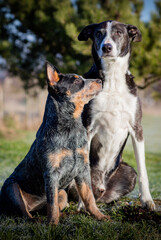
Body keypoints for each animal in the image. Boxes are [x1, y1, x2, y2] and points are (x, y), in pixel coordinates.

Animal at [77, 21, 156, 212]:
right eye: (98, 33)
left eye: (119, 33)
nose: (106, 47)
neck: (112, 78)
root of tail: (100, 188)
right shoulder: (88, 127)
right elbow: (83, 174)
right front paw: (83, 204)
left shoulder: (137, 128)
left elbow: (143, 170)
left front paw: (147, 200)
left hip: (127, 172)